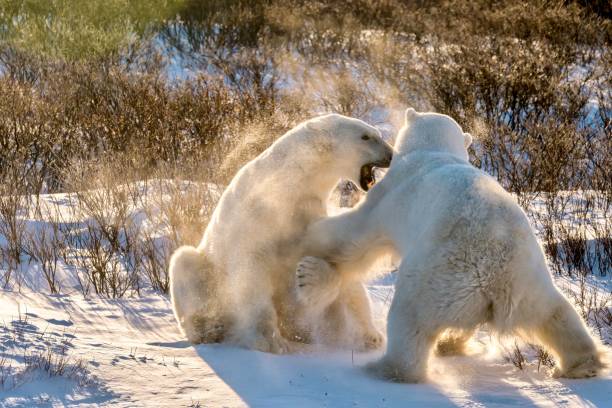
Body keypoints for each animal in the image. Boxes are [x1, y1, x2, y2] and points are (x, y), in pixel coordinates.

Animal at [170, 114, 394, 354]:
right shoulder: (259, 213)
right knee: (185, 262)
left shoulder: (306, 210)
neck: (292, 180)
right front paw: (269, 341)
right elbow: (251, 270)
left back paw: (370, 336)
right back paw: (209, 329)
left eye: (377, 134)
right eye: (366, 137)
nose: (391, 155)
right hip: (208, 271)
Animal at [294, 109, 604, 382]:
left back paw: (383, 367)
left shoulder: (390, 195)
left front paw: (310, 256)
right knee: (556, 314)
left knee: (410, 320)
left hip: (436, 279)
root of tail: (493, 276)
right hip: (529, 283)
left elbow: (355, 236)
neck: (434, 150)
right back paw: (582, 364)